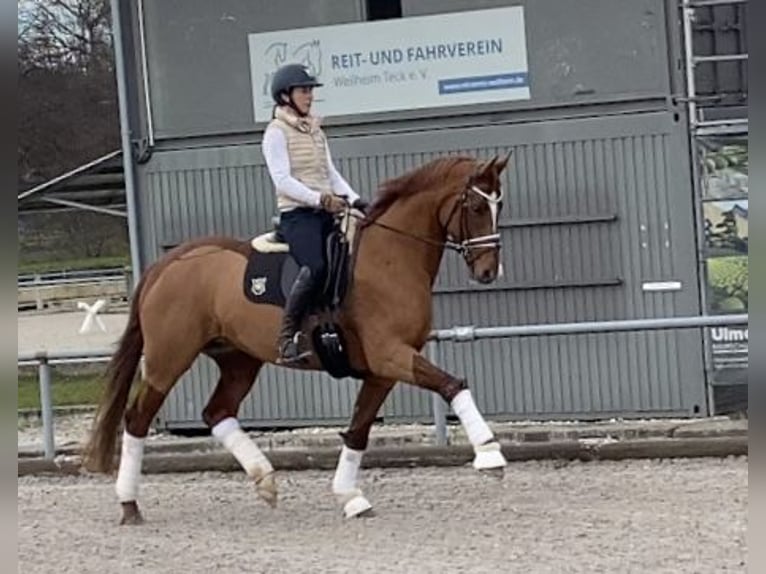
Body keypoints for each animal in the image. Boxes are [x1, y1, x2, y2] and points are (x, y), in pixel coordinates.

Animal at [84, 153, 512, 528]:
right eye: (476, 206)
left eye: (500, 205)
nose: (489, 272)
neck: (389, 258)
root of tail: (169, 263)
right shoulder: (391, 355)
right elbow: (452, 384)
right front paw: (490, 455)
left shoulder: (383, 370)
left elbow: (358, 430)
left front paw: (350, 497)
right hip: (168, 359)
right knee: (137, 419)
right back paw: (129, 504)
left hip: (239, 360)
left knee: (217, 412)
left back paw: (265, 481)